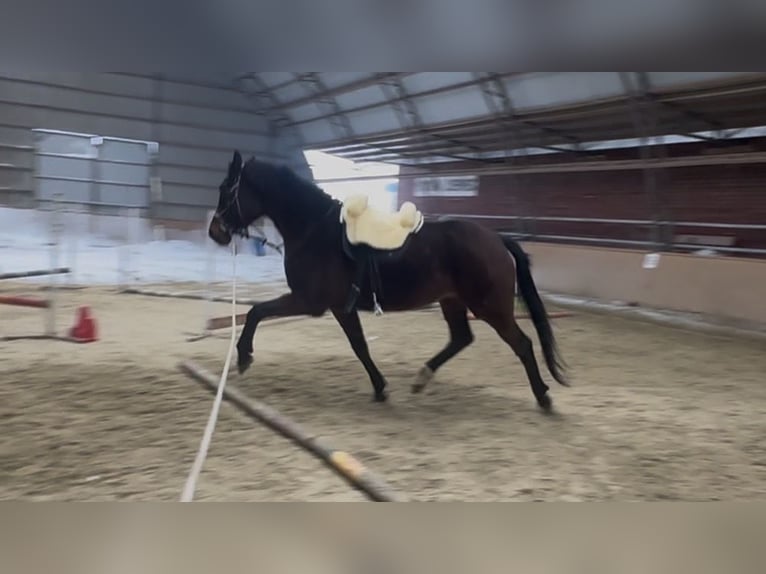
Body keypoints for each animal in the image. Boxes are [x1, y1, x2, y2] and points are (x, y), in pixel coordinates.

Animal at [208, 150, 569, 412]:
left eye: (225, 190)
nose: (215, 232)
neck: (314, 230)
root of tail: (496, 239)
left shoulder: (311, 302)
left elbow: (256, 311)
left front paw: (243, 356)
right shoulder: (340, 307)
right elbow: (360, 346)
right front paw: (380, 388)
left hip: (490, 308)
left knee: (522, 344)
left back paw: (543, 396)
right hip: (453, 302)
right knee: (461, 338)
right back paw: (422, 378)